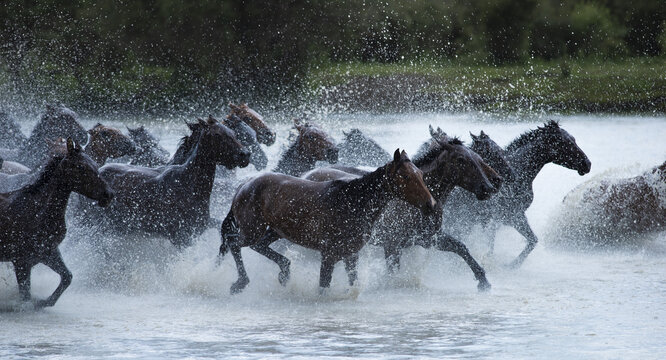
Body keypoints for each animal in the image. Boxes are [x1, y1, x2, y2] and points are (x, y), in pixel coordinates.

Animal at [0, 139, 113, 308]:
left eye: (95, 164)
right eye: (81, 167)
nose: (109, 194)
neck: (39, 212)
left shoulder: (48, 252)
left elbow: (67, 276)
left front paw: (44, 302)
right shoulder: (21, 260)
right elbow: (25, 296)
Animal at [80, 116, 250, 246]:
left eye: (233, 133)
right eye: (217, 135)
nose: (245, 155)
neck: (188, 184)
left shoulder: (201, 227)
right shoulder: (181, 238)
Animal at [218, 148, 436, 292]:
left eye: (420, 174)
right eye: (406, 177)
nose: (431, 204)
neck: (353, 202)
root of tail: (244, 185)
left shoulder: (351, 255)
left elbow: (352, 281)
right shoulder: (329, 255)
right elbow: (324, 286)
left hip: (275, 231)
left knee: (259, 246)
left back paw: (284, 272)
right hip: (251, 230)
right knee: (233, 243)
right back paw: (240, 282)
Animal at [304, 135, 500, 290]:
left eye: (479, 158)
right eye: (461, 160)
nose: (488, 188)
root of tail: (307, 174)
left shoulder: (428, 238)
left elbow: (461, 248)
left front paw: (483, 280)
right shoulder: (392, 245)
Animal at [438, 121, 588, 268]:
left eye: (573, 139)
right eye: (564, 143)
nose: (588, 164)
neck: (521, 173)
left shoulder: (505, 216)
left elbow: (527, 239)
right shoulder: (510, 215)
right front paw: (511, 264)